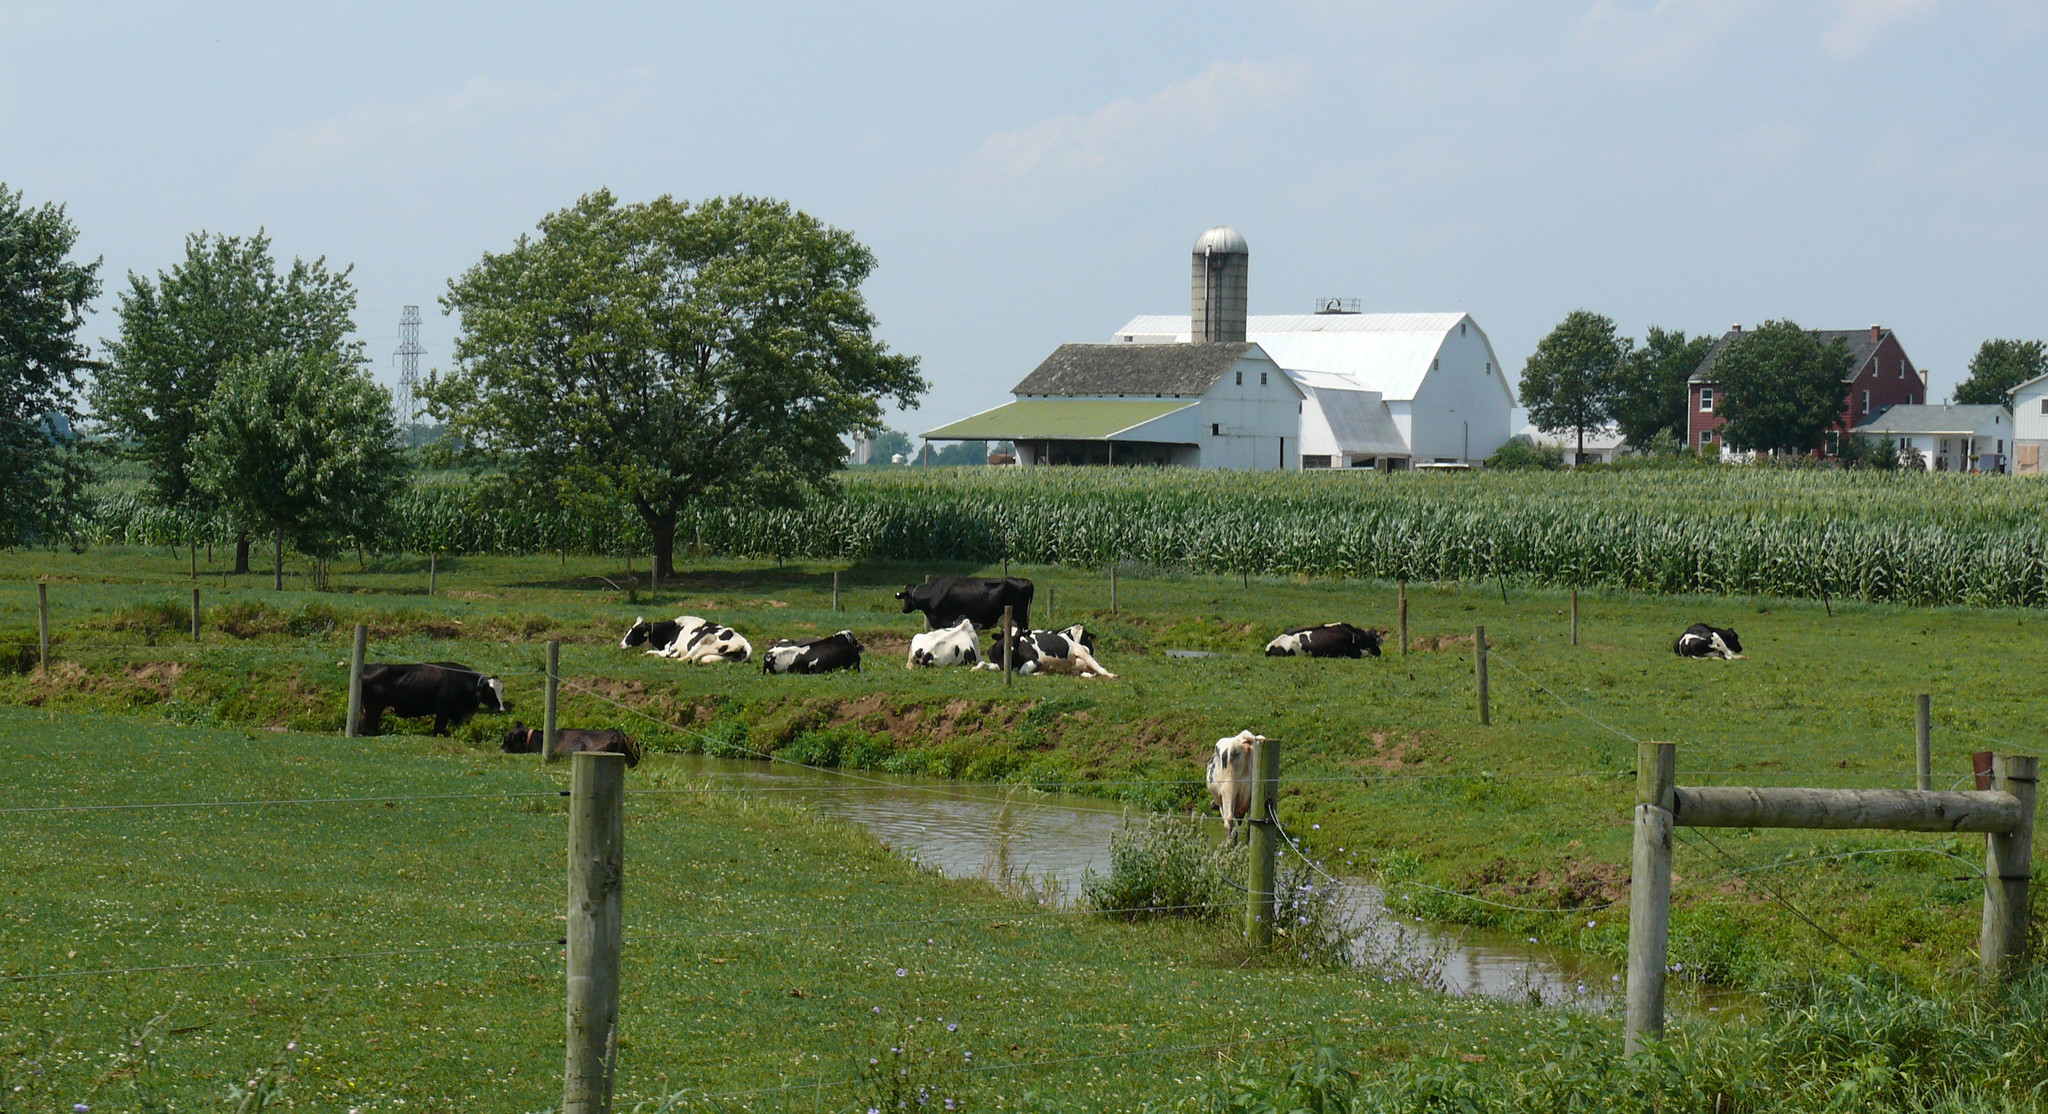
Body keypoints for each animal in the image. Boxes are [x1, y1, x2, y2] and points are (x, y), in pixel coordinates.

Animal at [356, 663, 512, 741]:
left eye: (502, 690)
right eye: (490, 691)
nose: (501, 708)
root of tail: (366, 668)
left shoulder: (459, 714)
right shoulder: (443, 711)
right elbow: (438, 731)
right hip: (372, 709)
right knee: (369, 730)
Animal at [978, 626, 1122, 679]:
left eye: (1019, 637)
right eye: (1004, 637)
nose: (1011, 650)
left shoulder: (1034, 660)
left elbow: (1022, 671)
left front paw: (1039, 673)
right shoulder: (998, 665)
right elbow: (982, 664)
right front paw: (975, 668)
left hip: (1082, 653)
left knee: (1099, 667)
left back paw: (1111, 675)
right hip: (1075, 664)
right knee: (1082, 672)